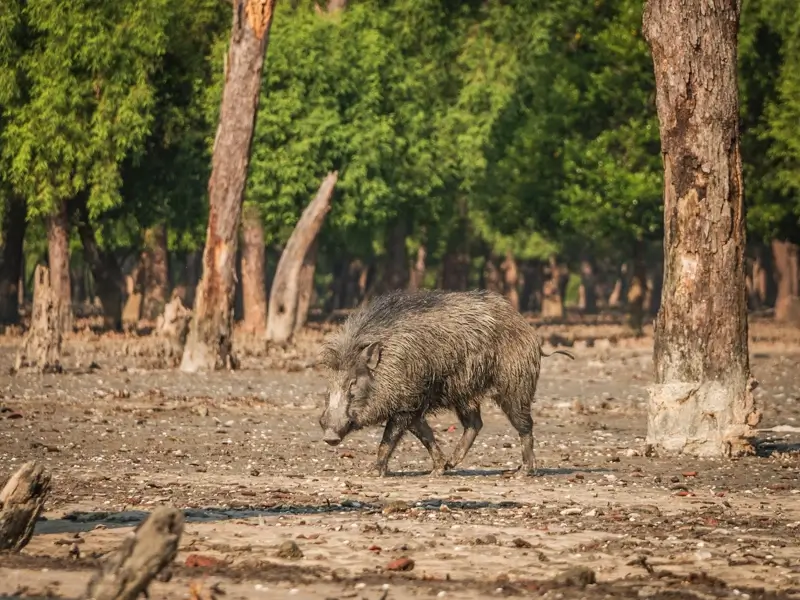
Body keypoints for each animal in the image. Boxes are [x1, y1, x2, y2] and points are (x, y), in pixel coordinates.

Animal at [316, 289, 574, 476]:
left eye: (353, 383)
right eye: (329, 385)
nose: (329, 435)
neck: (387, 365)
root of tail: (530, 332)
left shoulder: (406, 403)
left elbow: (389, 438)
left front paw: (371, 473)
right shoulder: (413, 405)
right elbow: (425, 434)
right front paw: (437, 470)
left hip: (515, 385)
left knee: (525, 425)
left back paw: (523, 472)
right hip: (465, 394)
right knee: (475, 423)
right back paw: (451, 465)